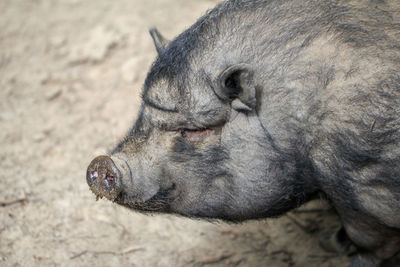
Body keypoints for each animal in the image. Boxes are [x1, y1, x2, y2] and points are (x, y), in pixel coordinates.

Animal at [86, 1, 400, 266]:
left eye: (196, 130)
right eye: (142, 114)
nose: (102, 163)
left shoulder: (366, 188)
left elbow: (370, 243)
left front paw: (341, 249)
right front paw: (333, 241)